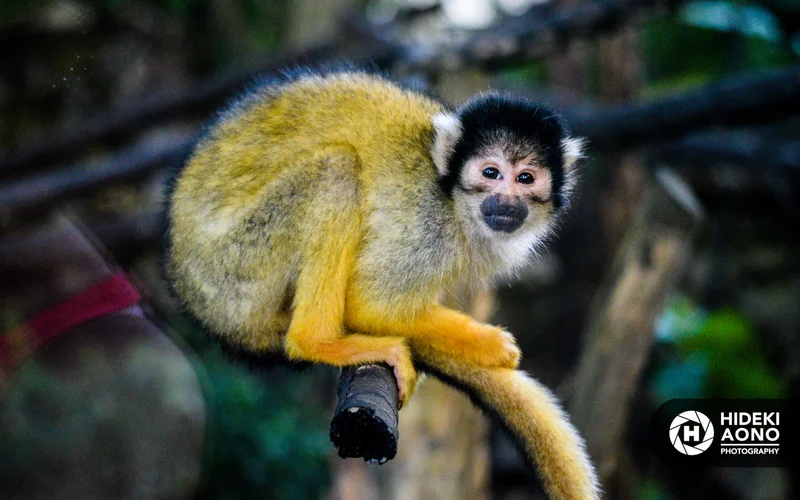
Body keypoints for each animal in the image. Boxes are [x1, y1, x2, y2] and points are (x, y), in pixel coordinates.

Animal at [166, 69, 599, 500]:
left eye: (525, 178)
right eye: (490, 173)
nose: (507, 202)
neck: (453, 203)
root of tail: (193, 295)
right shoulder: (426, 226)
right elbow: (370, 305)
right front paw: (489, 344)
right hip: (236, 269)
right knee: (337, 170)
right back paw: (319, 340)